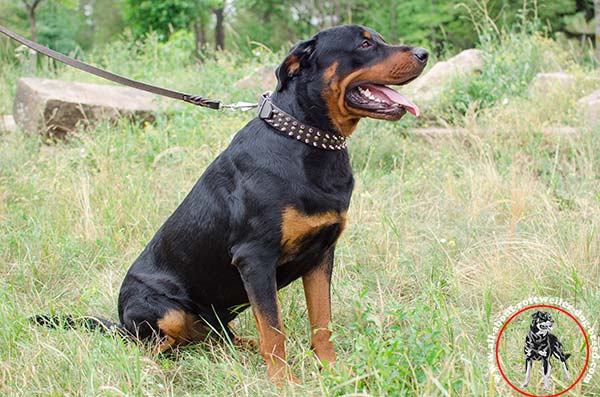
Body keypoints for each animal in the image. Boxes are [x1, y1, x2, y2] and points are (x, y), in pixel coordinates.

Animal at [34, 24, 426, 380]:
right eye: (364, 44)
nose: (423, 53)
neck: (306, 140)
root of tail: (120, 322)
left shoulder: (321, 255)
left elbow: (321, 321)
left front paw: (331, 369)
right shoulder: (255, 258)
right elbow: (274, 330)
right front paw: (283, 382)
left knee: (215, 339)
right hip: (163, 312)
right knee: (151, 347)